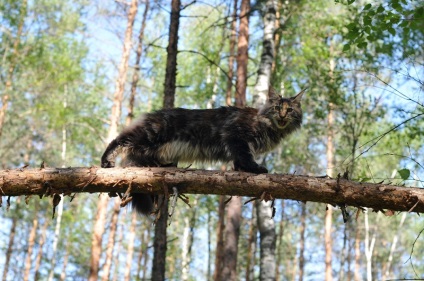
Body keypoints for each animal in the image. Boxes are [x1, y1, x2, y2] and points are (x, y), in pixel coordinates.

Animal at [100, 86, 304, 213]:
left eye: (290, 110)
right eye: (277, 107)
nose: (282, 116)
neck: (268, 126)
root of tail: (153, 114)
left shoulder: (238, 143)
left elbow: (238, 159)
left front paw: (241, 170)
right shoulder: (236, 136)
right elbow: (244, 156)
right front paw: (255, 168)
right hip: (150, 134)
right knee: (119, 140)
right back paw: (106, 161)